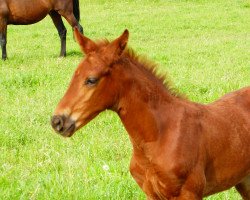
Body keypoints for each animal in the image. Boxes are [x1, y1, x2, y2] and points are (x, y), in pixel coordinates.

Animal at [50, 28, 250, 200]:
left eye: (91, 80)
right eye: (74, 75)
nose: (57, 121)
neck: (159, 136)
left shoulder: (189, 193)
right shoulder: (151, 193)